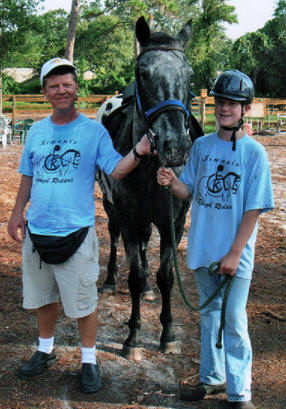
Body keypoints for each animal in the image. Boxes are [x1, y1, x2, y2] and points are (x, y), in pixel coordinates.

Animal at [96, 15, 203, 358]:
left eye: (189, 74)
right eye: (143, 73)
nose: (175, 146)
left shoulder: (173, 223)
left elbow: (165, 276)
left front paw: (167, 334)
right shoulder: (130, 220)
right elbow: (134, 273)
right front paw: (132, 337)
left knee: (144, 249)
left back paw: (146, 291)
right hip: (111, 207)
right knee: (115, 237)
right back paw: (109, 280)